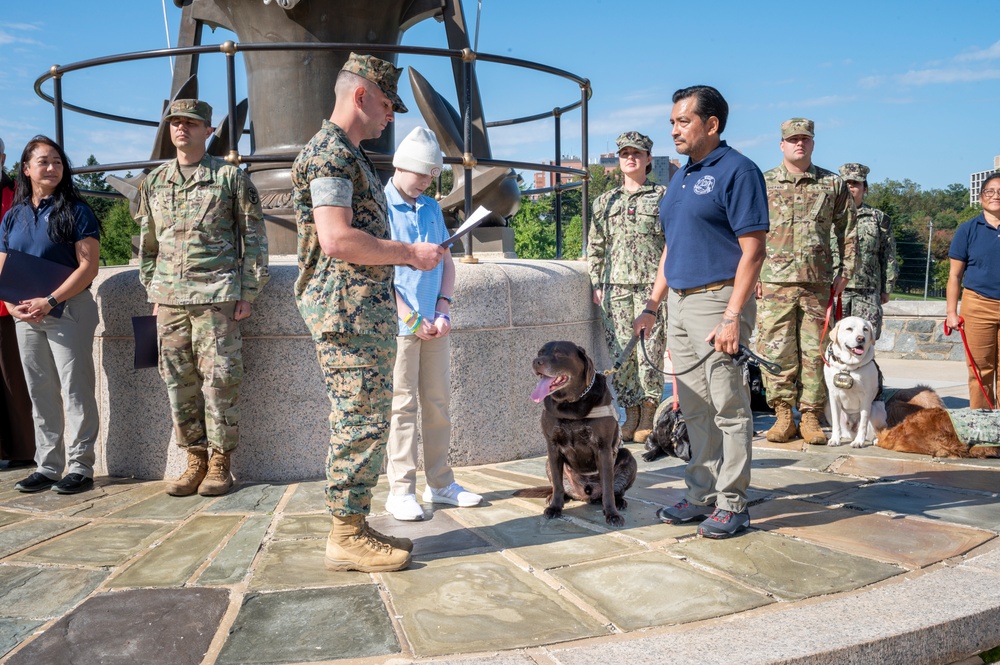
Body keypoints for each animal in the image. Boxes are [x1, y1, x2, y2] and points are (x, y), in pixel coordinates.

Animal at [528, 342, 636, 524]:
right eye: (540, 353)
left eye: (559, 354)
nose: (536, 362)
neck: (571, 404)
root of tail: (586, 495)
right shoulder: (553, 448)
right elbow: (558, 484)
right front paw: (555, 507)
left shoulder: (604, 449)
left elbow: (608, 487)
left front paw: (612, 513)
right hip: (548, 462)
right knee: (561, 488)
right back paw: (554, 498)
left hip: (628, 456)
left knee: (615, 490)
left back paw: (619, 501)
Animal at [824, 316, 880, 446]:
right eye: (849, 329)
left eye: (865, 329)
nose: (861, 338)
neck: (848, 366)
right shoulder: (833, 396)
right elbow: (836, 422)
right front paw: (835, 439)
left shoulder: (866, 397)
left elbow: (863, 424)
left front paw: (859, 442)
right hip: (827, 406)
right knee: (843, 430)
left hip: (876, 408)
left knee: (873, 431)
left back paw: (874, 439)